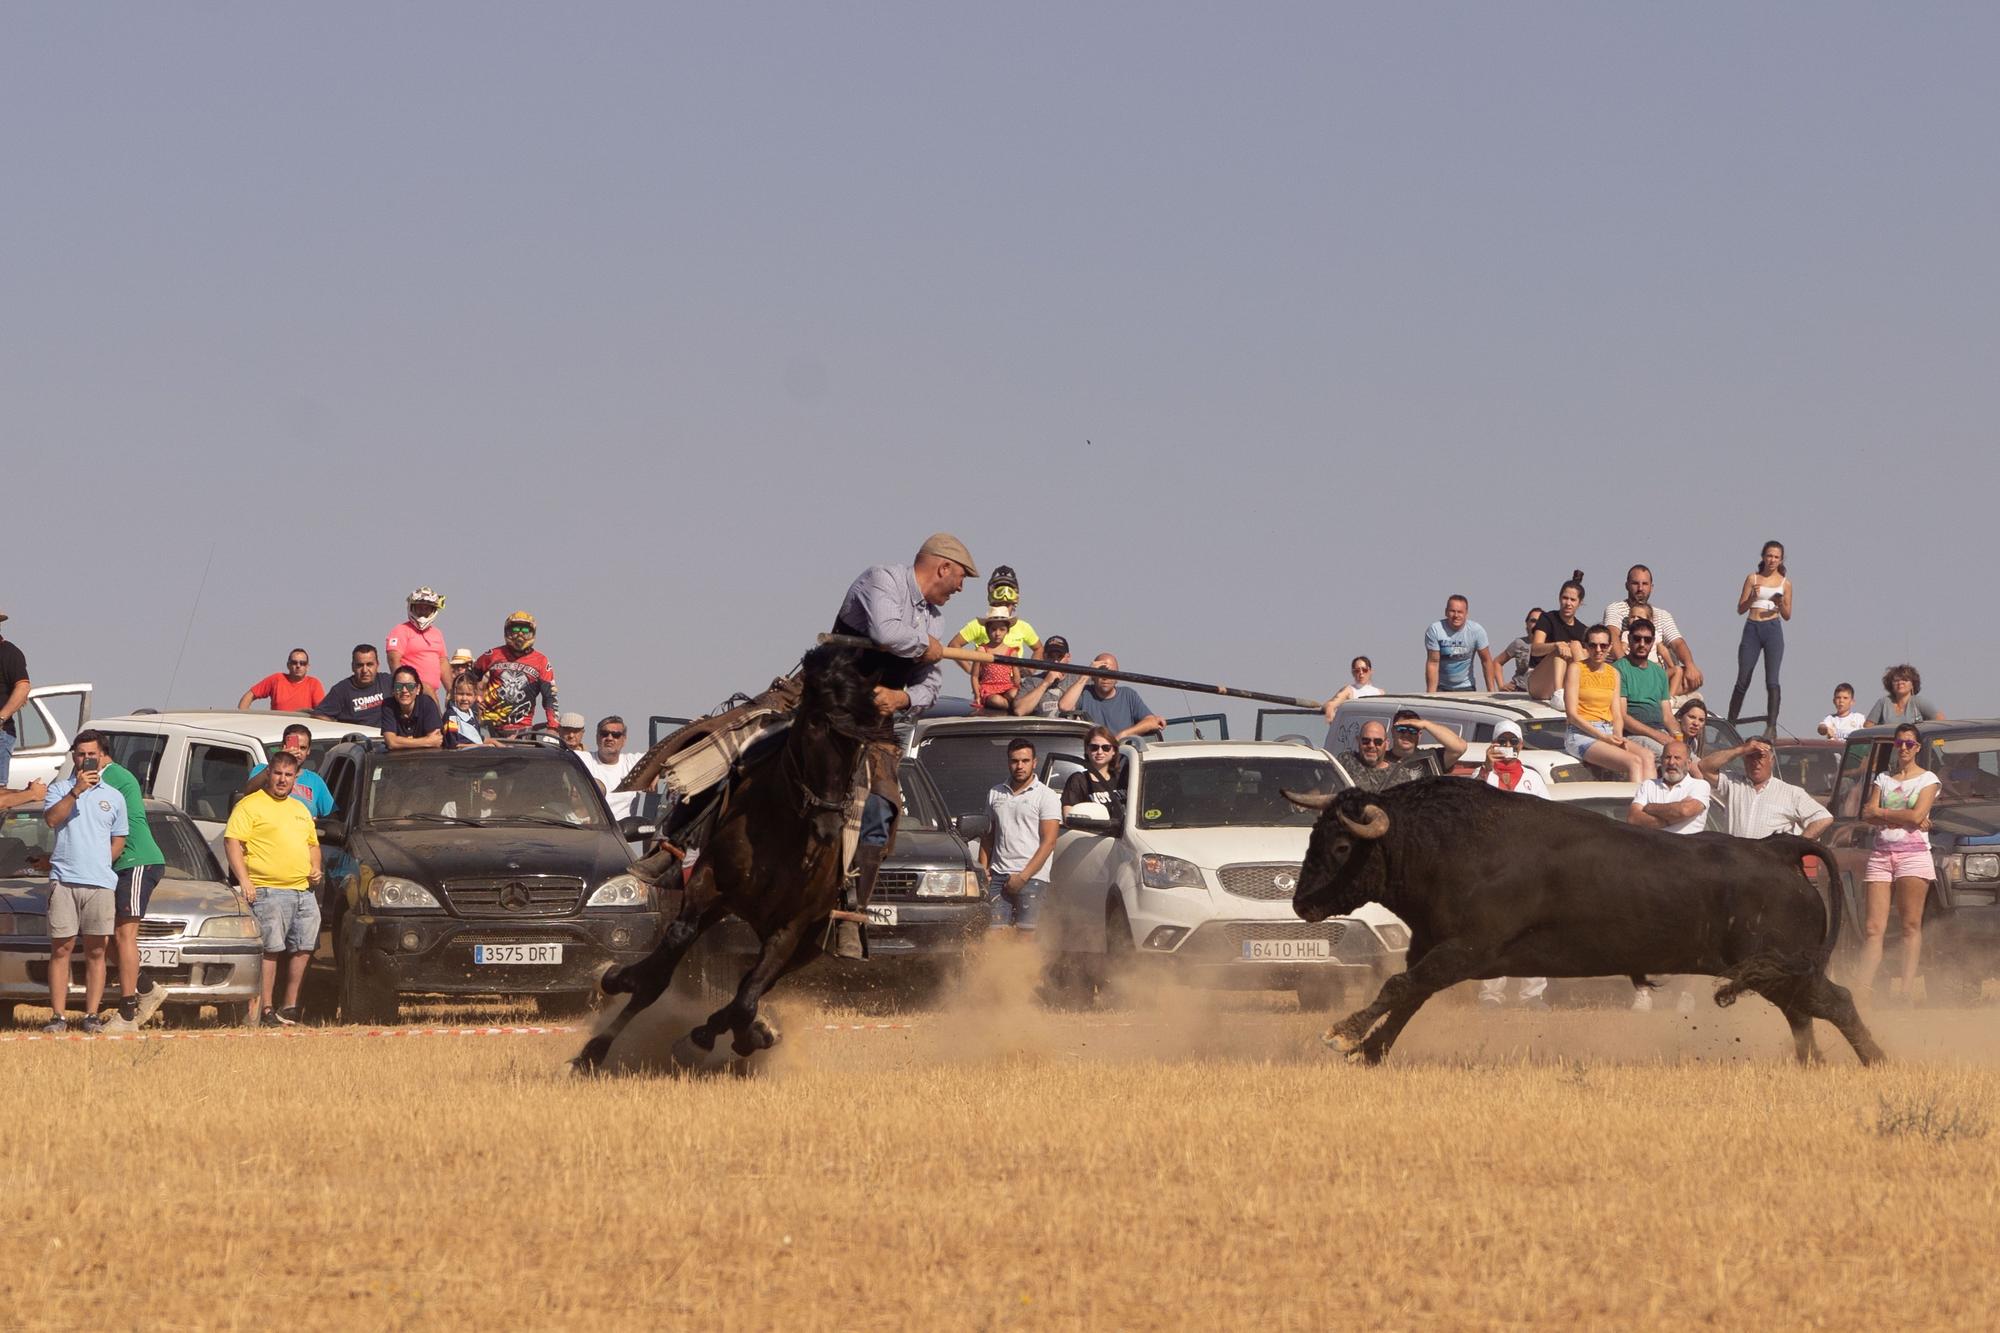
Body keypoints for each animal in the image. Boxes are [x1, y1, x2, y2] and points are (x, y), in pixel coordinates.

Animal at [568, 644, 872, 1072]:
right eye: (810, 732)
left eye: (857, 748)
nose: (828, 825)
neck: (783, 832)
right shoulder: (707, 886)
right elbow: (664, 966)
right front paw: (609, 1007)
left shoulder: (792, 928)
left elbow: (746, 995)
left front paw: (731, 1036)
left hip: (806, 942)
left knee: (752, 988)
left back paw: (741, 1034)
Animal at [1288, 772, 1880, 1064]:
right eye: (1314, 836)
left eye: (1341, 846)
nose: (1301, 904)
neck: (1447, 845)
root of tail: (1778, 849)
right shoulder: (1434, 952)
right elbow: (1409, 994)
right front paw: (1371, 1051)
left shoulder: (1464, 951)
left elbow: (1397, 987)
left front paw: (1344, 1035)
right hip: (1781, 974)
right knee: (1805, 1013)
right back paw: (1812, 1063)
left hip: (1784, 967)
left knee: (1837, 1001)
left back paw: (1876, 1062)